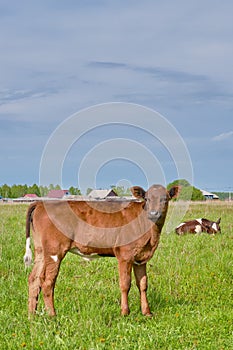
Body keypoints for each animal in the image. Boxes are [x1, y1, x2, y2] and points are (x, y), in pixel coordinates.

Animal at [23, 185, 179, 316]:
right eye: (146, 198)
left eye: (165, 199)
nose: (154, 213)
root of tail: (41, 203)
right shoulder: (125, 255)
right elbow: (125, 284)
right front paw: (125, 312)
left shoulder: (140, 258)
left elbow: (143, 284)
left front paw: (147, 312)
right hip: (54, 250)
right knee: (47, 281)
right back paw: (52, 315)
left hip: (41, 251)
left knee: (34, 279)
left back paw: (32, 315)